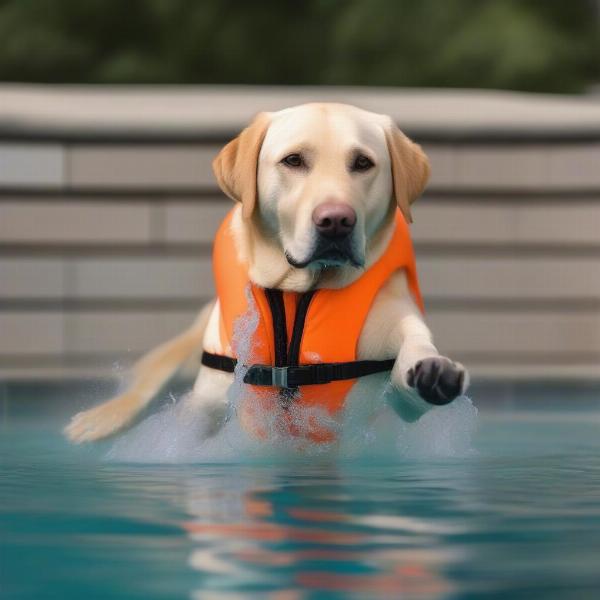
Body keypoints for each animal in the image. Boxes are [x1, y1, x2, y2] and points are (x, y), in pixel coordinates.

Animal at [65, 103, 468, 442]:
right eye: (293, 160)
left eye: (363, 163)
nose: (336, 221)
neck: (300, 290)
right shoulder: (210, 393)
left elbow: (412, 365)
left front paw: (434, 374)